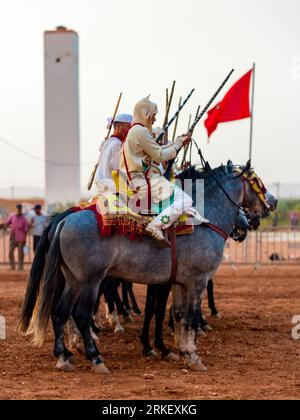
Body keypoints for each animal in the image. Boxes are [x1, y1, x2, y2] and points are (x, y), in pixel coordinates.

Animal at [18, 162, 276, 374]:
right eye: (256, 180)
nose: (272, 203)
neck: (205, 220)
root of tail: (65, 219)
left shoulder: (179, 283)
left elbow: (179, 315)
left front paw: (180, 350)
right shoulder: (197, 281)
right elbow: (188, 317)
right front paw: (192, 356)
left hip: (73, 279)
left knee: (60, 311)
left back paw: (64, 356)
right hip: (91, 280)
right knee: (81, 314)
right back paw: (95, 357)